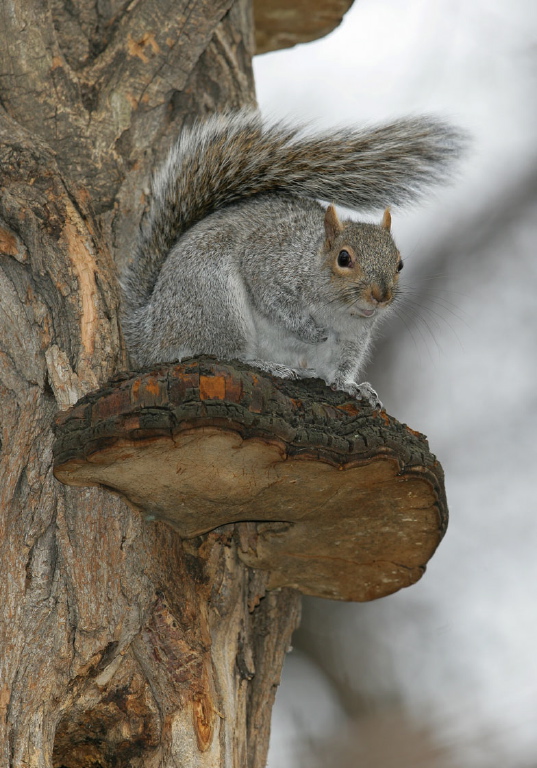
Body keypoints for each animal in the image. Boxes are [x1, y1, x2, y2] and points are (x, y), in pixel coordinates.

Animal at [120, 110, 460, 408]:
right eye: (344, 258)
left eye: (399, 264)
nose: (380, 295)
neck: (338, 310)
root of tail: (149, 330)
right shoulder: (268, 264)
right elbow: (276, 303)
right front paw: (311, 331)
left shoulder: (352, 340)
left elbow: (338, 371)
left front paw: (353, 388)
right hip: (215, 302)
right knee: (229, 354)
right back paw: (270, 366)